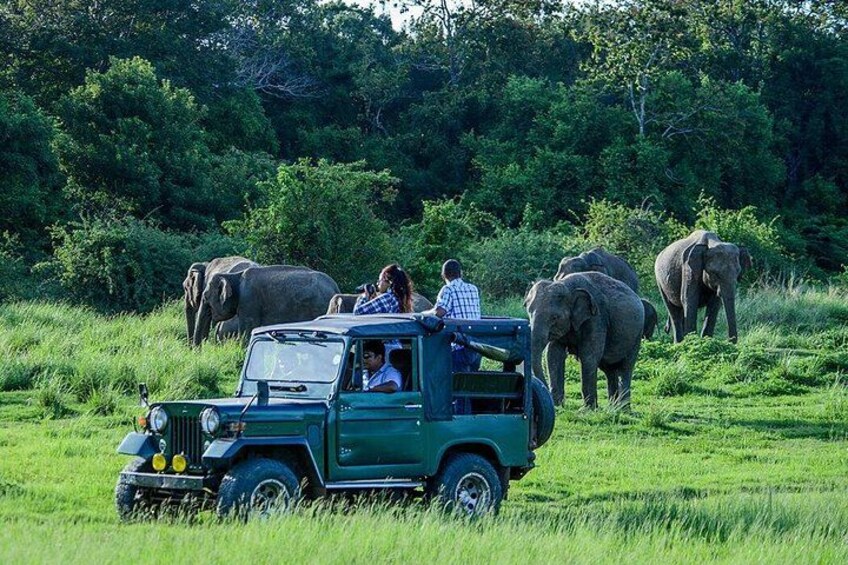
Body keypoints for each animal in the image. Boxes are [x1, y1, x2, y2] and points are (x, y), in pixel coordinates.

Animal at [197, 265, 340, 345]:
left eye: (205, 297)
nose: (199, 350)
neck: (233, 276)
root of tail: (335, 287)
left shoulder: (249, 301)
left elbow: (246, 332)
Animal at [526, 272, 644, 408]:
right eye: (529, 312)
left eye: (554, 317)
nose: (545, 392)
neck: (567, 285)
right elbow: (553, 355)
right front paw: (557, 406)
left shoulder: (597, 318)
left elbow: (589, 356)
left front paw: (587, 410)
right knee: (610, 370)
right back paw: (612, 408)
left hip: (636, 336)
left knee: (625, 368)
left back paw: (622, 409)